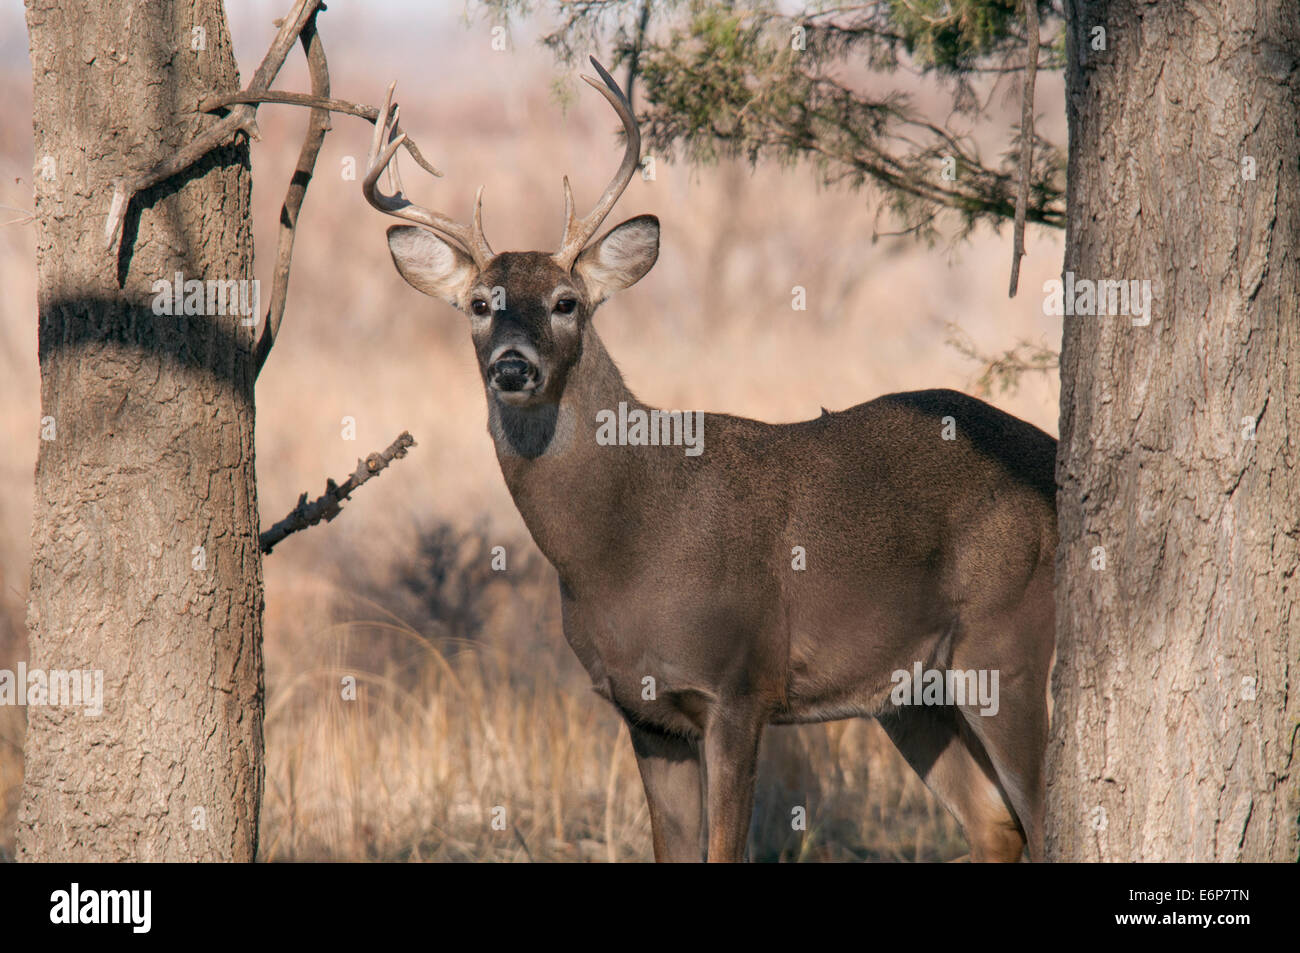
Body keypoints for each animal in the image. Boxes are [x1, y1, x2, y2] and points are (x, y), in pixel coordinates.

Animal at [363, 59, 1058, 862]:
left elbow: (725, 847)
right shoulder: (643, 711)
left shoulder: (740, 684)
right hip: (914, 692)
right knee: (996, 821)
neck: (623, 540)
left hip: (1005, 640)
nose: (513, 365)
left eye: (567, 301)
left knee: (1045, 813)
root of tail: (1052, 453)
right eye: (479, 303)